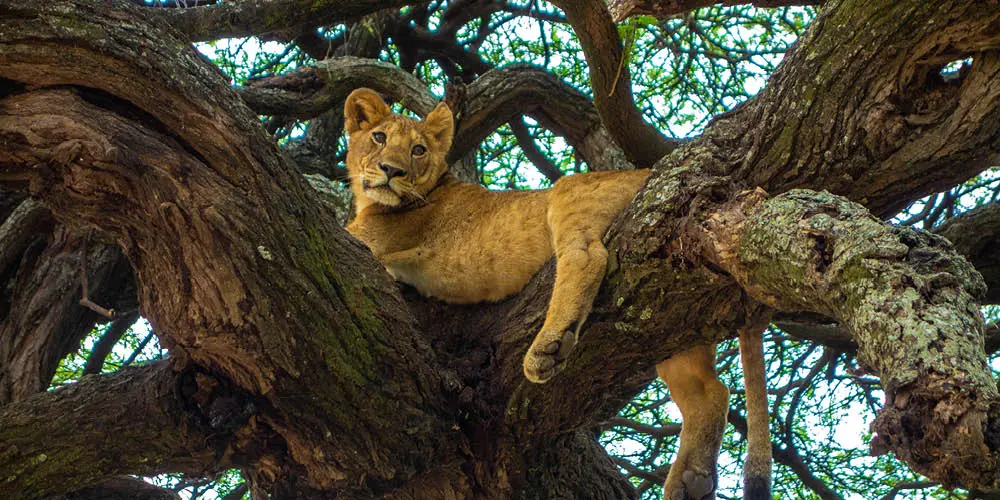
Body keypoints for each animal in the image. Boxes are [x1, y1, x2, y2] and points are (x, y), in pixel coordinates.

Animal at [342, 88, 771, 500]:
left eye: (418, 150)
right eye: (379, 137)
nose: (392, 170)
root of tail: (653, 170)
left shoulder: (370, 240)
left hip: (571, 193)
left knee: (585, 255)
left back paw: (548, 346)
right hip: (673, 324)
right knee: (710, 391)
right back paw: (690, 480)